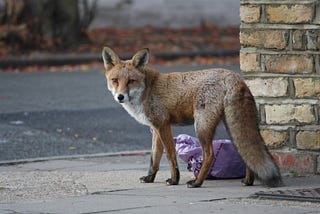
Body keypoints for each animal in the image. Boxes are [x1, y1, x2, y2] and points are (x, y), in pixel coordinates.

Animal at [101, 46, 282, 187]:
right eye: (115, 80)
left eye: (130, 81)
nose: (120, 97)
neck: (147, 90)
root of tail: (234, 76)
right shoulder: (156, 128)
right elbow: (154, 158)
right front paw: (149, 178)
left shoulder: (163, 125)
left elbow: (170, 156)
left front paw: (174, 180)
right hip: (230, 125)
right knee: (245, 151)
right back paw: (248, 181)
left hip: (201, 126)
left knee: (209, 155)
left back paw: (197, 182)